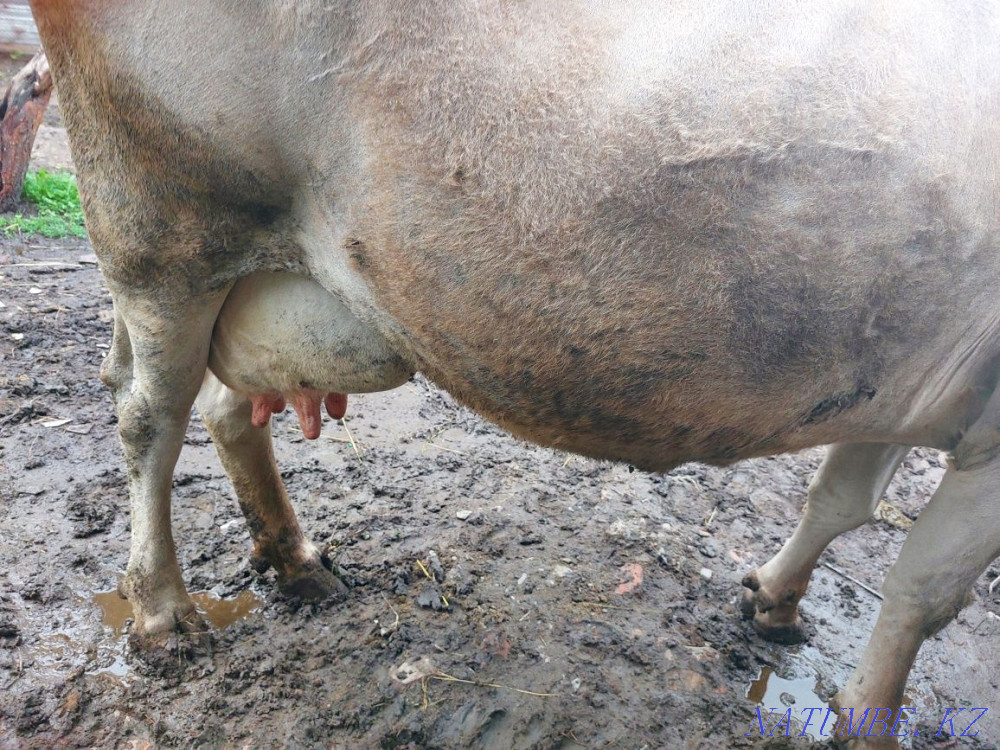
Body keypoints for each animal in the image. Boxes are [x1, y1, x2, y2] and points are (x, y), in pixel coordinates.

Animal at [29, 1, 1000, 746]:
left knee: (230, 410)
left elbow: (841, 503)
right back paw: (162, 614)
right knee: (148, 418)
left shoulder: (896, 385)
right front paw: (868, 716)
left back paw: (295, 559)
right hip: (161, 228)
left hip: (259, 269)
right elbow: (924, 591)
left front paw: (776, 598)